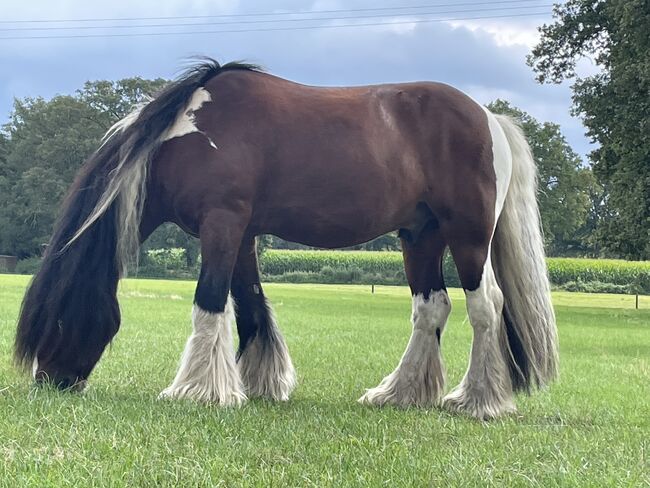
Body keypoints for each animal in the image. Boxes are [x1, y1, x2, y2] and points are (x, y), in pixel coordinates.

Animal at [12, 58, 556, 420]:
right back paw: (398, 394)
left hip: (467, 235)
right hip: (420, 236)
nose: (50, 381)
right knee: (432, 308)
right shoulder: (243, 232)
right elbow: (249, 303)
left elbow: (210, 301)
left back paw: (477, 400)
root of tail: (490, 118)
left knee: (486, 306)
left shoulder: (222, 223)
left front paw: (196, 390)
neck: (186, 136)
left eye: (56, 319)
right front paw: (256, 384)